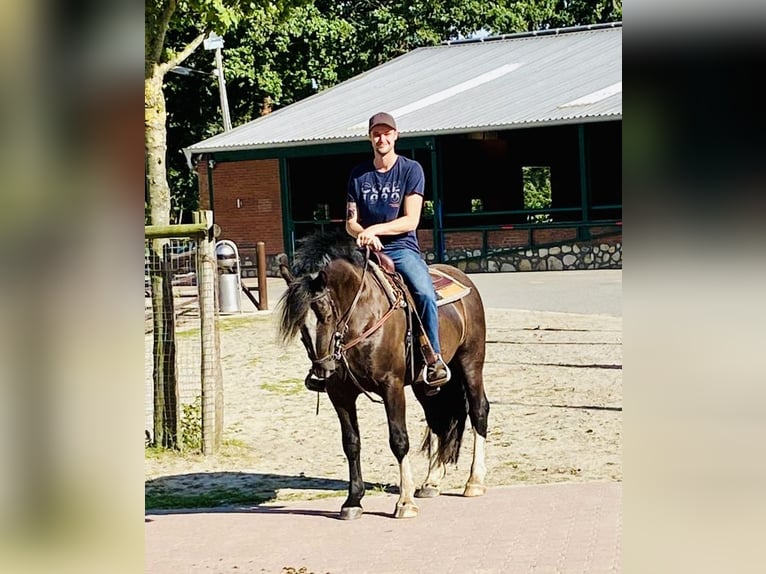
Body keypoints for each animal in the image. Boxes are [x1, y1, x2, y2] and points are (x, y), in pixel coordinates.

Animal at [278, 233, 492, 520]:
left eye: (326, 313)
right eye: (301, 325)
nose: (323, 370)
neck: (362, 317)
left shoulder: (392, 386)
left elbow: (399, 440)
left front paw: (405, 501)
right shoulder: (340, 394)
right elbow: (351, 443)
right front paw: (352, 501)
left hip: (471, 362)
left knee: (478, 410)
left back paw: (474, 481)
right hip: (425, 385)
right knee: (439, 420)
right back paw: (432, 481)